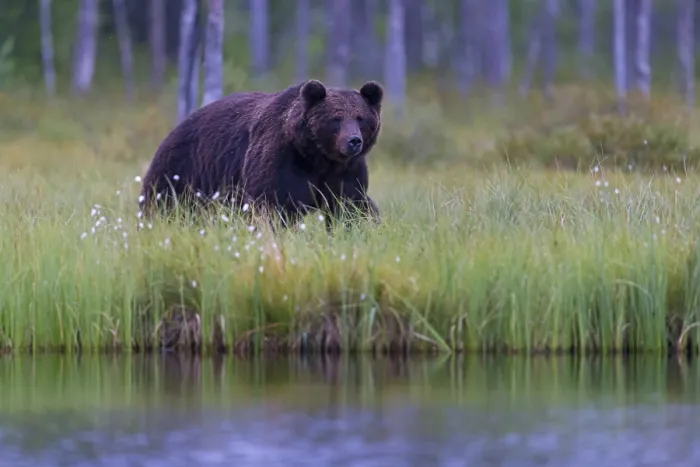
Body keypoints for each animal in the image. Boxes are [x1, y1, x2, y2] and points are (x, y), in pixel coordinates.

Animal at [138, 78, 384, 231]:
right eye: (336, 118)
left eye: (361, 118)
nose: (354, 141)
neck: (317, 157)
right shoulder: (282, 159)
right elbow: (272, 205)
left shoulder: (346, 172)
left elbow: (350, 207)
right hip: (182, 172)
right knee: (162, 204)